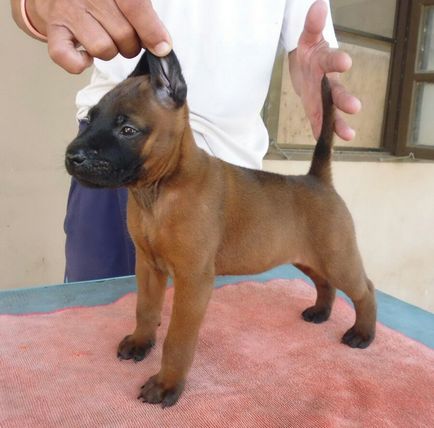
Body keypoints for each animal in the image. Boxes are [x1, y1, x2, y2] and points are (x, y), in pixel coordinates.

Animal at [64, 51, 376, 408]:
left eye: (127, 129)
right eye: (90, 118)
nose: (72, 157)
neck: (159, 190)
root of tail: (317, 179)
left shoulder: (193, 280)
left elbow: (178, 339)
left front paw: (167, 383)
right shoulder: (148, 266)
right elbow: (145, 309)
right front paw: (141, 342)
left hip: (337, 257)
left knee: (365, 290)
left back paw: (363, 333)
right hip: (307, 257)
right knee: (326, 283)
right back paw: (321, 312)